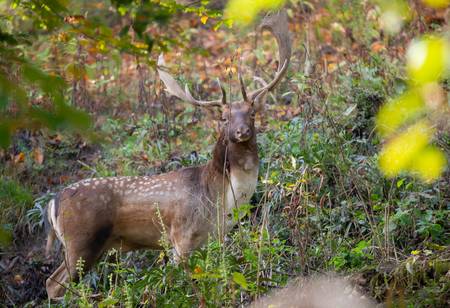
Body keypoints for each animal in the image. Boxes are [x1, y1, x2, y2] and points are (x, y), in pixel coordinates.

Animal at [44, 9, 292, 298]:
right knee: (53, 283)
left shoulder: (214, 238)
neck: (221, 199)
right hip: (81, 241)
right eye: (223, 117)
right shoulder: (181, 238)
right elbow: (181, 285)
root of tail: (52, 203)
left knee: (54, 281)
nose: (241, 131)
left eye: (252, 113)